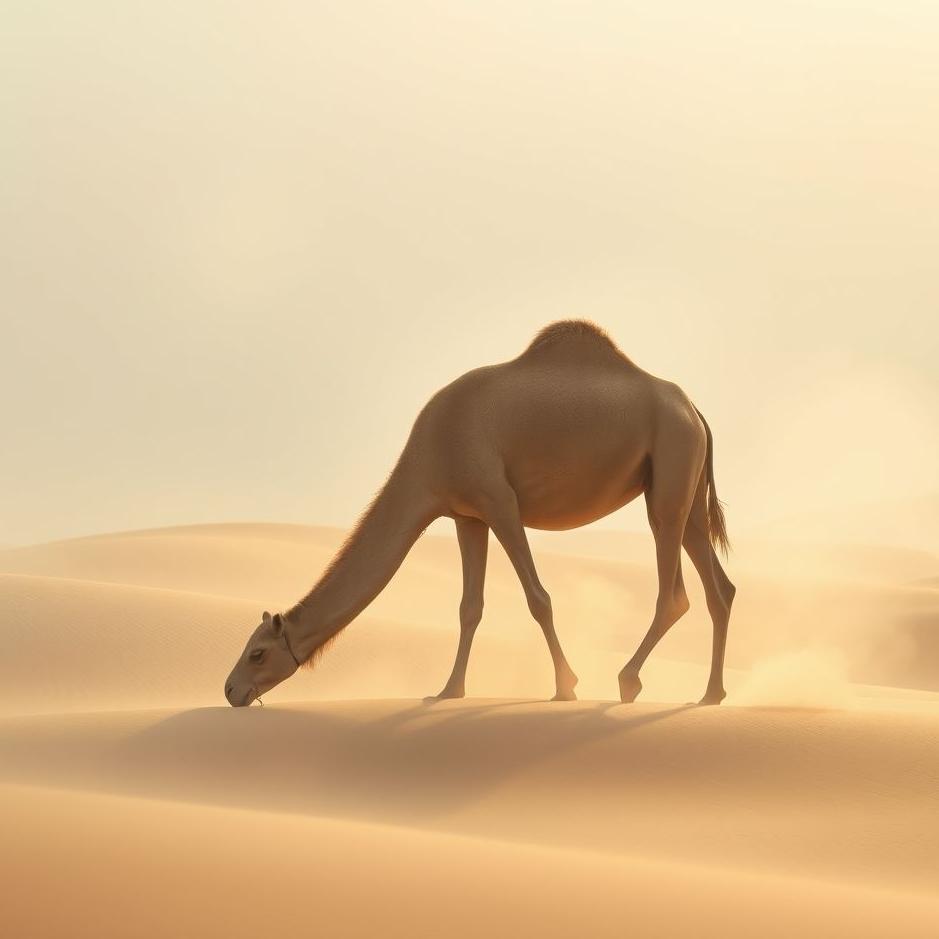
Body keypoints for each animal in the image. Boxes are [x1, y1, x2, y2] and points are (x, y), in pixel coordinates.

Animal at [225, 320, 735, 708]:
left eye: (257, 652)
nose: (231, 690)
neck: (427, 456)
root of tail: (693, 409)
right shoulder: (467, 516)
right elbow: (469, 607)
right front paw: (448, 690)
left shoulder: (499, 501)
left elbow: (537, 598)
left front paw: (565, 688)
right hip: (683, 486)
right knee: (719, 587)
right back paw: (710, 695)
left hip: (669, 468)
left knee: (674, 592)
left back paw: (628, 681)